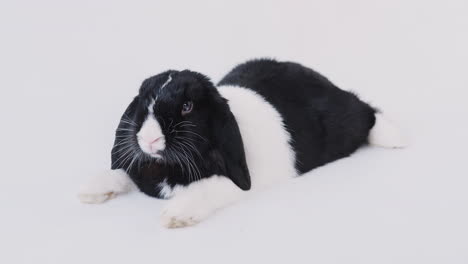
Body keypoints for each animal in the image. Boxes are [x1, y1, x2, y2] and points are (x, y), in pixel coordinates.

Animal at [77, 58, 406, 228]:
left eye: (187, 107)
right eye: (143, 103)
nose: (149, 139)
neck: (169, 165)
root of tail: (325, 81)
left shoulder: (232, 182)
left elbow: (206, 188)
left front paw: (176, 215)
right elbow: (123, 172)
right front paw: (91, 190)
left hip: (346, 120)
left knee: (366, 111)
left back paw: (396, 138)